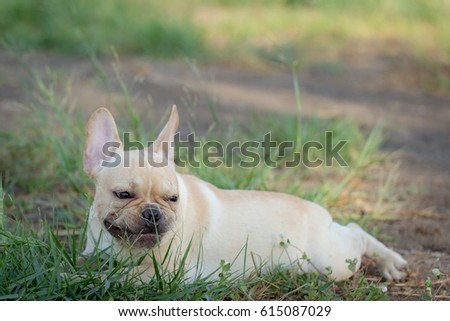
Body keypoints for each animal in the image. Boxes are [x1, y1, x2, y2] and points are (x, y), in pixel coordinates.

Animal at [81, 105, 408, 280]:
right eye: (123, 195)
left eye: (172, 199)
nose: (153, 213)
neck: (119, 246)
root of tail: (320, 213)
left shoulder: (157, 275)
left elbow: (105, 277)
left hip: (332, 261)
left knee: (356, 233)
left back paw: (389, 261)